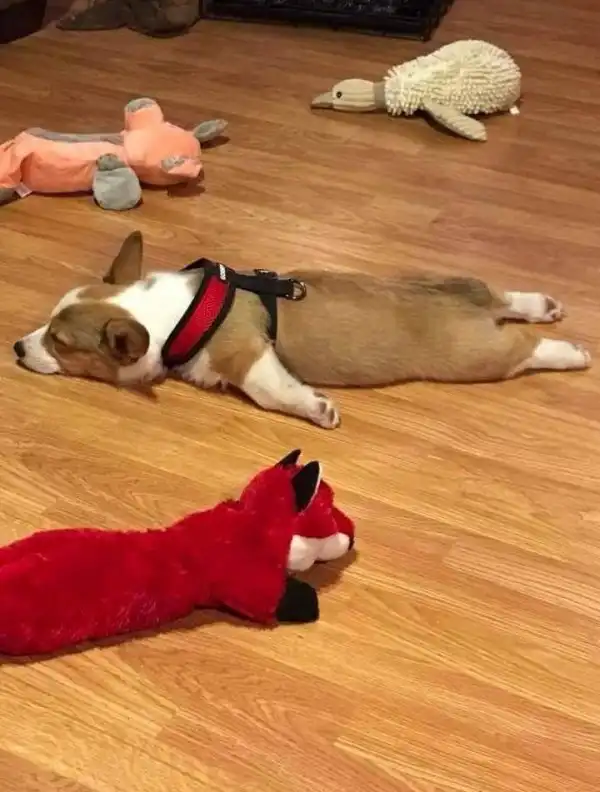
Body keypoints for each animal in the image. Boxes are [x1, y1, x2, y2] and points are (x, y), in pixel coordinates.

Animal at [14, 231, 591, 429]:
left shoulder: (248, 357)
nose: (17, 347)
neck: (174, 314)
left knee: (526, 347)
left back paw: (573, 353)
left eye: (60, 345)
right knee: (506, 298)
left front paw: (317, 410)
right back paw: (541, 303)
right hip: (457, 282)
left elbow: (274, 391)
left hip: (475, 356)